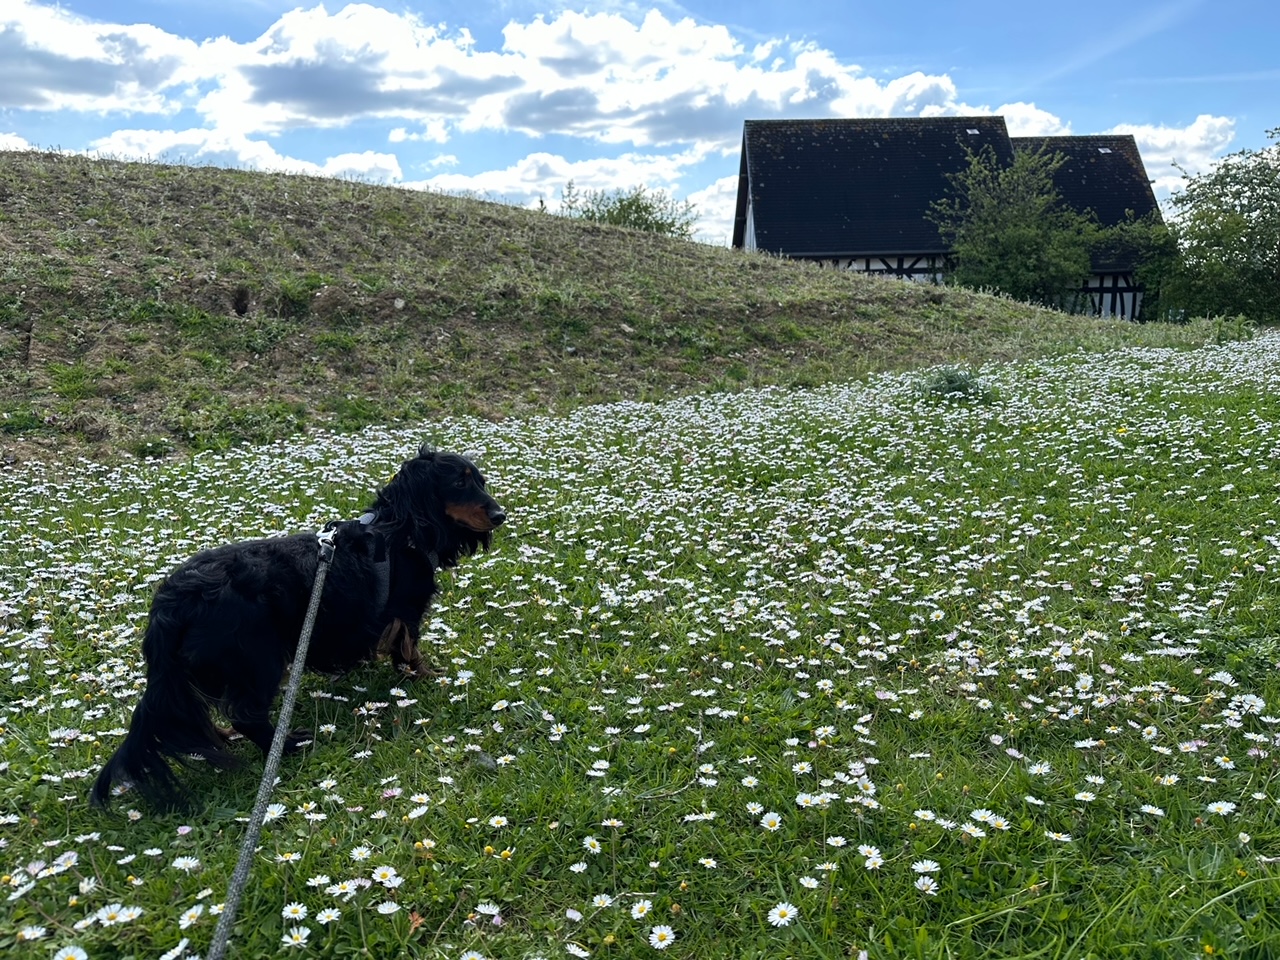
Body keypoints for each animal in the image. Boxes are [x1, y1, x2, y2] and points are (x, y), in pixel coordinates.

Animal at [92, 448, 501, 808]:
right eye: (459, 482)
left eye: (478, 480)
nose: (501, 514)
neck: (400, 530)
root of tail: (173, 600)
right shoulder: (406, 613)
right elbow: (409, 651)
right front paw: (427, 676)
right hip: (260, 656)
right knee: (244, 713)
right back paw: (287, 744)